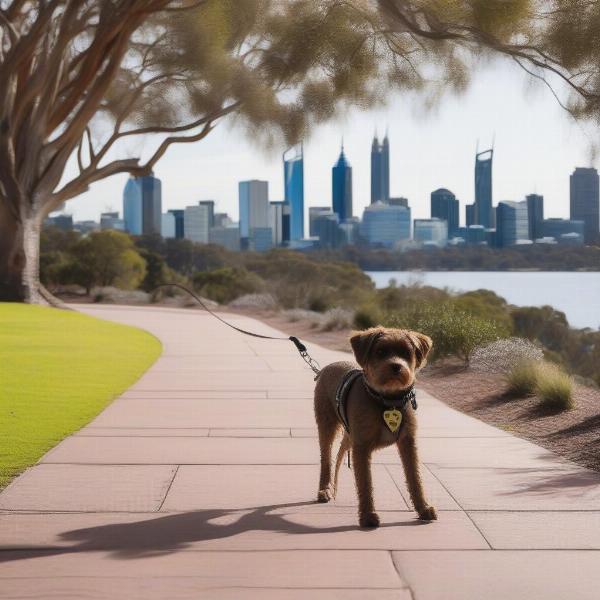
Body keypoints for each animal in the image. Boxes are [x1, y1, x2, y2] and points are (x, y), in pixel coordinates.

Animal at [314, 326, 436, 528]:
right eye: (380, 352)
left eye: (406, 353)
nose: (396, 366)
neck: (388, 401)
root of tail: (325, 369)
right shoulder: (362, 446)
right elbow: (365, 482)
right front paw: (368, 516)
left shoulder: (408, 442)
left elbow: (415, 478)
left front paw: (423, 508)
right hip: (326, 424)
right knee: (326, 459)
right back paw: (325, 490)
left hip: (349, 434)